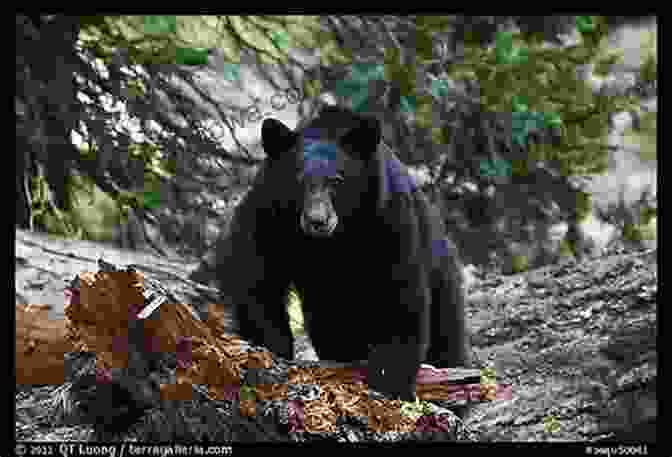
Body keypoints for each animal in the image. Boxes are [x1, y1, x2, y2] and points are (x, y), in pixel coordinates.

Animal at [207, 106, 470, 400]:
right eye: (299, 181)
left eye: (337, 181)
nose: (317, 220)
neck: (333, 241)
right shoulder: (270, 217)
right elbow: (258, 278)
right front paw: (272, 350)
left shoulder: (388, 221)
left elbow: (400, 295)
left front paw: (390, 381)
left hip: (442, 277)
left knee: (447, 335)